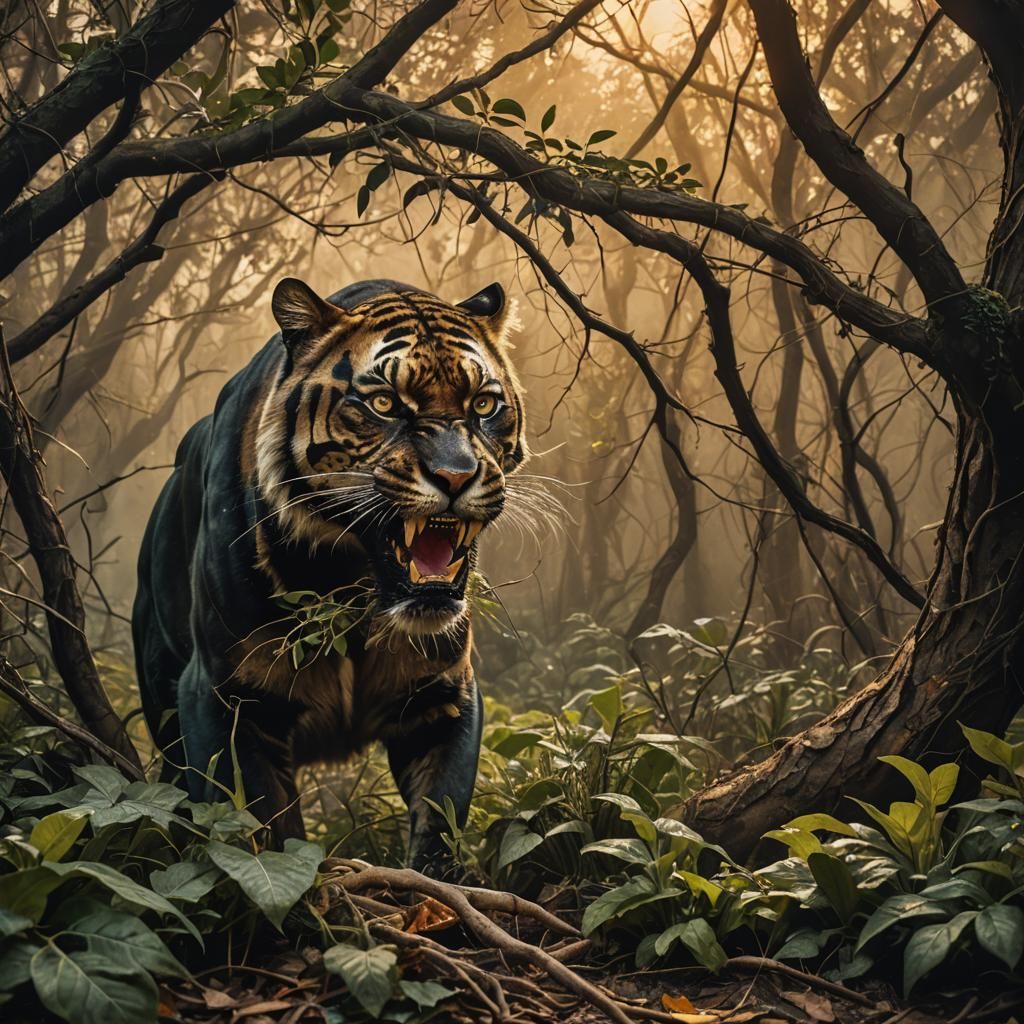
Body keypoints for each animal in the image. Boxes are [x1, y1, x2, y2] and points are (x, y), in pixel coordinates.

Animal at [132, 277, 526, 874]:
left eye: (483, 404)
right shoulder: (225, 700)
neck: (356, 587)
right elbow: (264, 832)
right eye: (385, 404)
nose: (456, 476)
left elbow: (442, 816)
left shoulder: (445, 698)